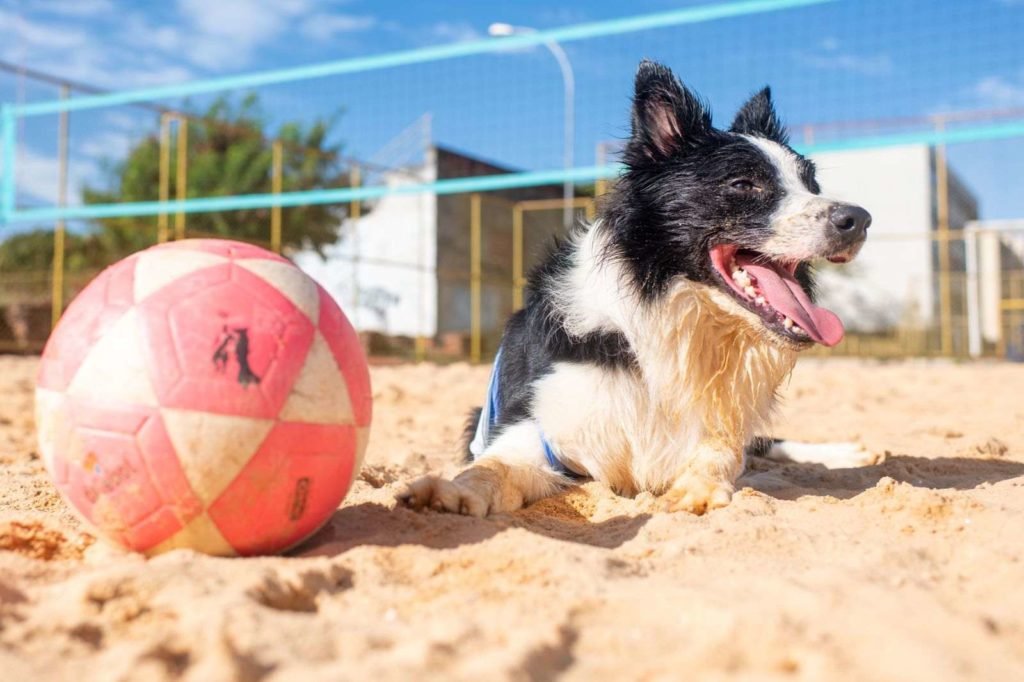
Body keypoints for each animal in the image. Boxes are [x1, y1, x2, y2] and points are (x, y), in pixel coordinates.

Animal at [399, 61, 872, 516]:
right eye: (742, 184)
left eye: (812, 185)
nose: (860, 219)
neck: (665, 313)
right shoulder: (534, 428)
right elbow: (490, 469)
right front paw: (451, 491)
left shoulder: (716, 424)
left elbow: (724, 453)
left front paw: (700, 488)